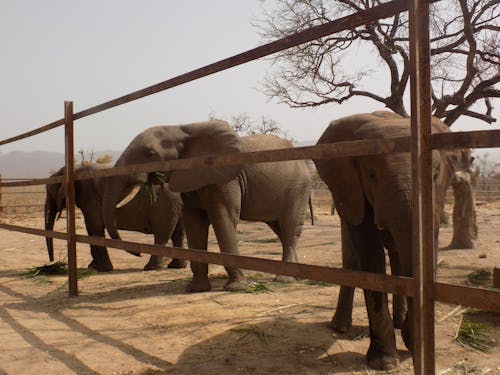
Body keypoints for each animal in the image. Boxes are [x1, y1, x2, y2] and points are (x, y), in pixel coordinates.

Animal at [43, 163, 186, 272]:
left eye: (49, 192)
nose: (52, 261)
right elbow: (91, 229)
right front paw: (92, 267)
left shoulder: (90, 197)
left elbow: (95, 228)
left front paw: (102, 269)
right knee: (177, 233)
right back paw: (176, 266)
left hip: (165, 206)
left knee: (162, 234)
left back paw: (151, 268)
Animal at [101, 120, 310, 294]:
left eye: (150, 154)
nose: (138, 252)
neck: (182, 129)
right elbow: (194, 225)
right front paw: (196, 289)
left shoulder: (226, 179)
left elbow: (223, 220)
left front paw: (235, 288)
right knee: (280, 229)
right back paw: (296, 275)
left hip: (298, 188)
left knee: (289, 227)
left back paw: (284, 279)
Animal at [314, 111, 456, 370]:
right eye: (372, 176)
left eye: (435, 174)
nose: (413, 343)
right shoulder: (352, 189)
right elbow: (370, 257)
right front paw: (384, 362)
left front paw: (412, 343)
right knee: (352, 257)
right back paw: (340, 327)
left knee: (396, 255)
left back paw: (399, 322)